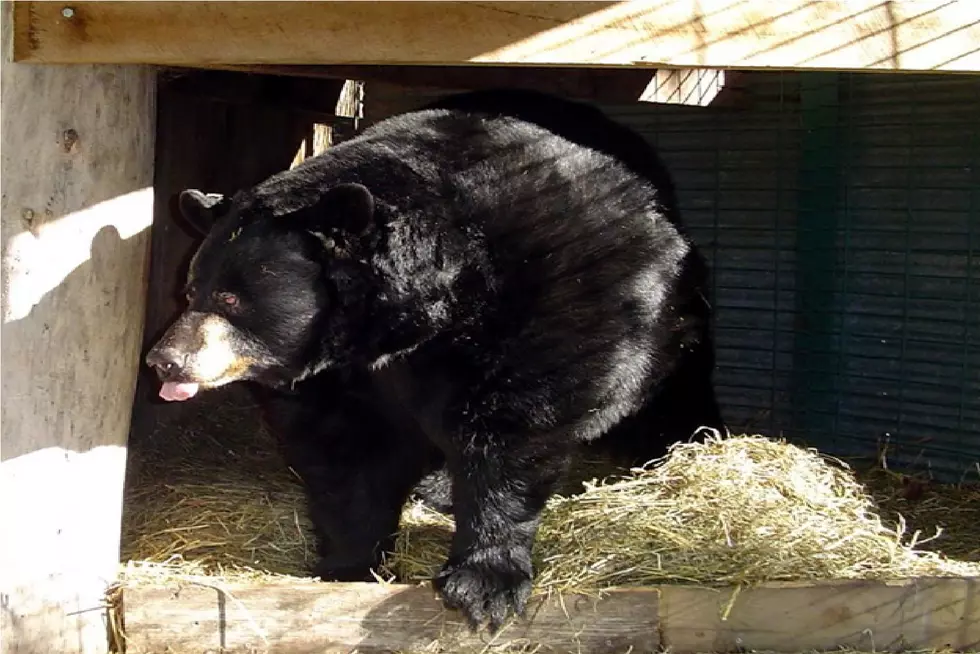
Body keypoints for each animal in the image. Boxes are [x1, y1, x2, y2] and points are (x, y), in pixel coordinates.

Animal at [149, 89, 724, 632]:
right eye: (190, 290)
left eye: (231, 299)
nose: (164, 361)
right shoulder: (342, 374)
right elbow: (348, 452)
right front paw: (348, 564)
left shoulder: (530, 313)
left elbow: (509, 434)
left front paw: (484, 583)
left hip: (666, 315)